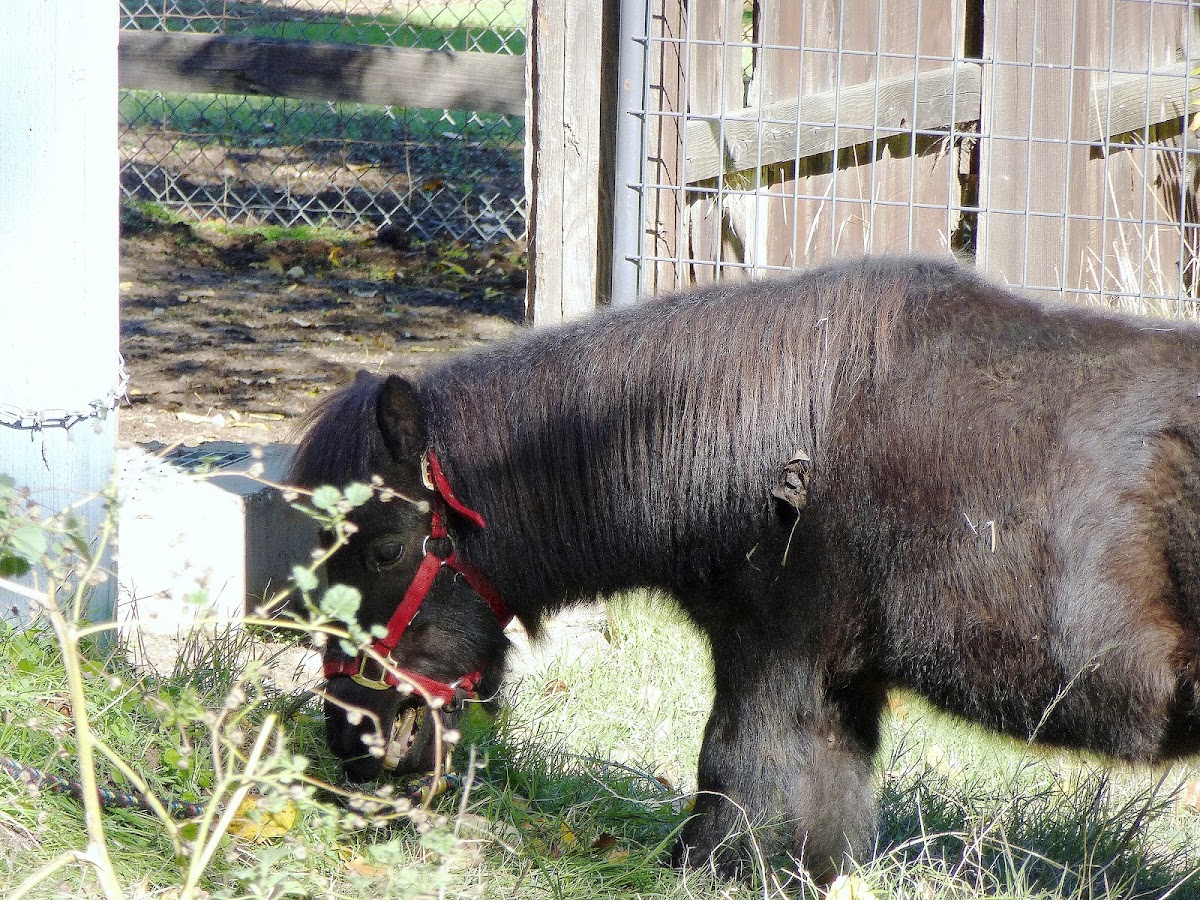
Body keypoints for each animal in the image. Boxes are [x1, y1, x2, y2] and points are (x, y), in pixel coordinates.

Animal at [288, 256, 1200, 883]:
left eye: (384, 548)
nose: (352, 739)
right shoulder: (838, 687)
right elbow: (820, 815)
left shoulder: (772, 658)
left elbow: (731, 773)